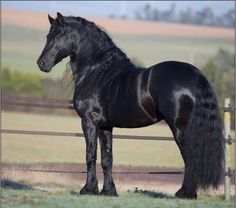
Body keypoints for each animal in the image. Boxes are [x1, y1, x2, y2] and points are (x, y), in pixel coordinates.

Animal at [37, 12, 225, 198]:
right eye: (48, 35)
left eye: (60, 34)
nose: (42, 63)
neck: (97, 72)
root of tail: (196, 76)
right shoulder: (105, 126)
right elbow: (107, 158)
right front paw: (108, 191)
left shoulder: (89, 122)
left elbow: (90, 155)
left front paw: (88, 189)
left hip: (180, 128)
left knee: (190, 157)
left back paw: (185, 193)